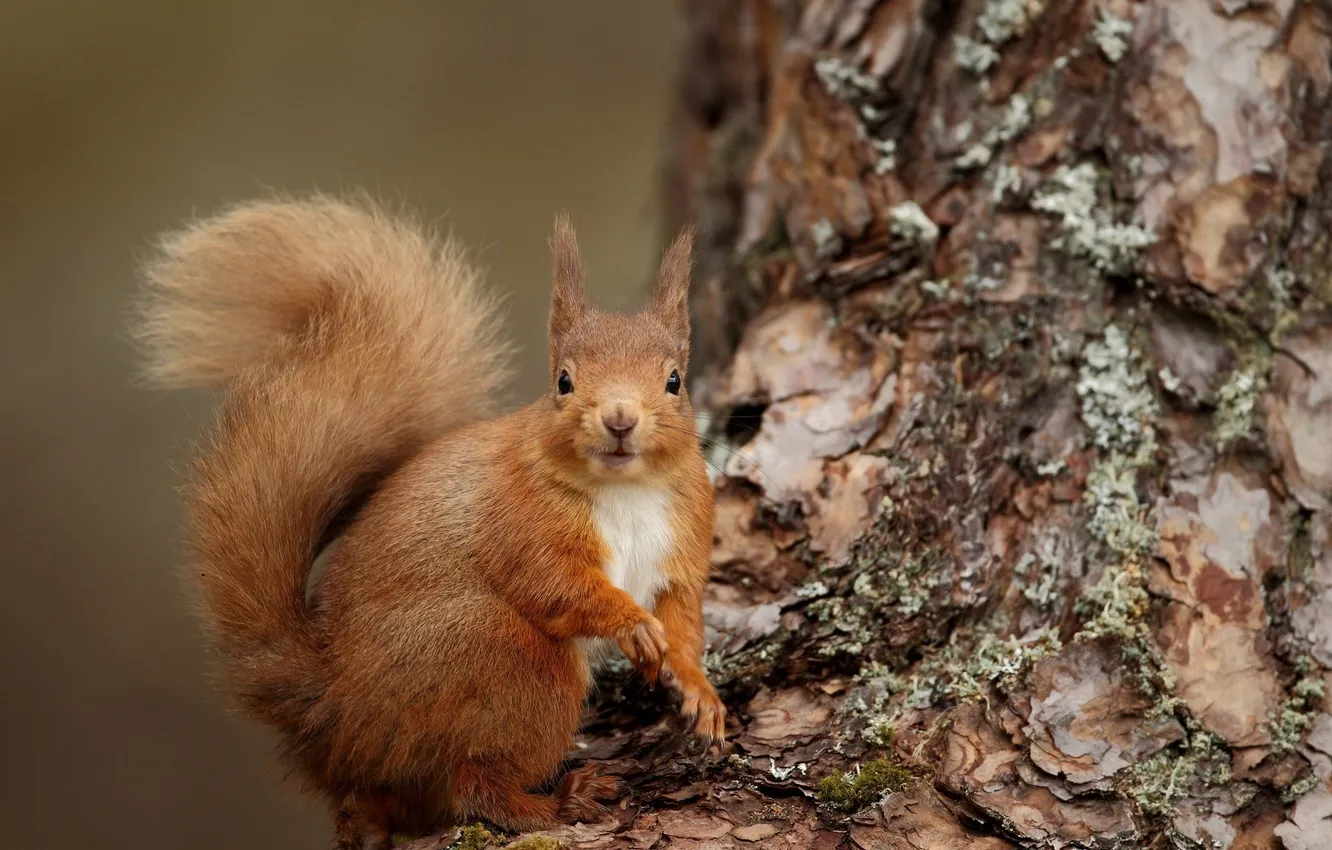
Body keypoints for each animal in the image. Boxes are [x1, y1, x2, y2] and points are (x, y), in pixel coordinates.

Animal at [135, 197, 729, 847]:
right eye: (563, 381)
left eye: (674, 381)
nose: (620, 419)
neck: (625, 491)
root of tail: (332, 712)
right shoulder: (519, 522)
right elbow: (557, 586)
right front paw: (633, 625)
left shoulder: (683, 541)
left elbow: (682, 619)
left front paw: (698, 691)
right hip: (503, 658)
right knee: (475, 783)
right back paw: (559, 801)